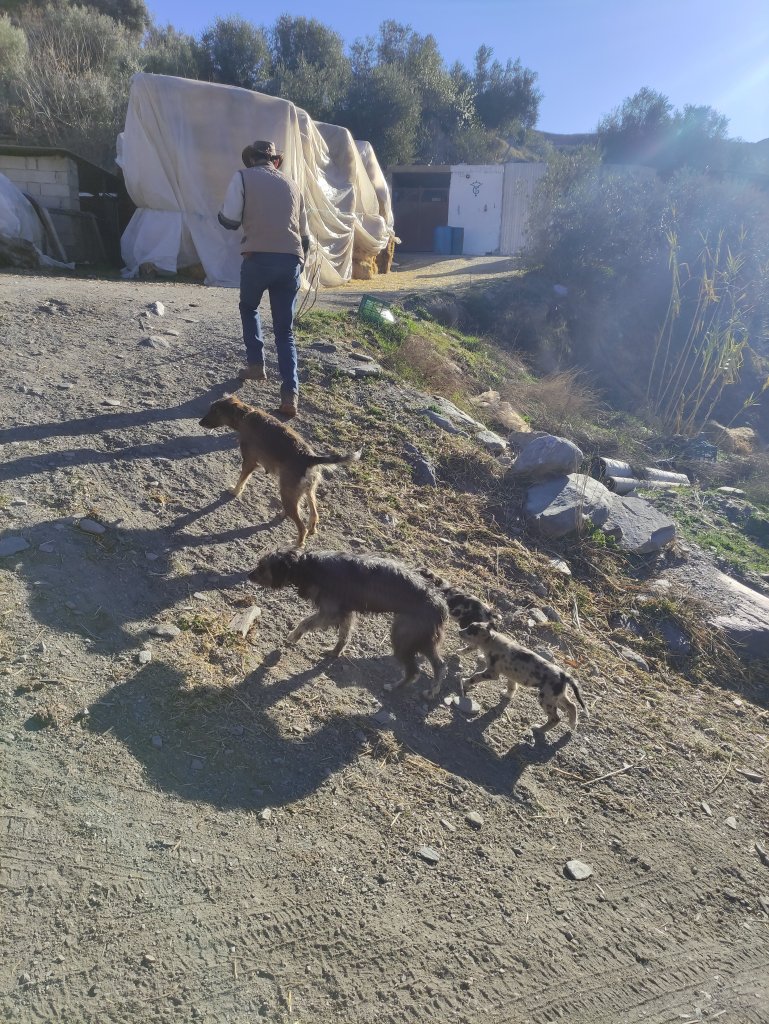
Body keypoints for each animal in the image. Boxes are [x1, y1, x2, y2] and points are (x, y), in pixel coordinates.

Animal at [199, 395, 361, 547]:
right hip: (307, 491)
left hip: (287, 493)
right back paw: (307, 526)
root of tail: (308, 458)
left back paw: (297, 544)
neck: (245, 415)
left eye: (215, 411)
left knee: (301, 527)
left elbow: (241, 480)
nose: (200, 423)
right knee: (314, 515)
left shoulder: (249, 462)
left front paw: (235, 491)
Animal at [249, 549, 448, 697]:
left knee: (414, 671)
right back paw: (432, 691)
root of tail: (440, 604)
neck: (305, 566)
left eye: (262, 567)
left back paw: (394, 687)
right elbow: (344, 636)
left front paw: (293, 636)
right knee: (439, 665)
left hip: (402, 636)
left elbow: (305, 622)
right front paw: (334, 653)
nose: (249, 575)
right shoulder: (345, 613)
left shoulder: (330, 612)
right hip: (420, 639)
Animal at [458, 622, 587, 732]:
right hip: (557, 696)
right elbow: (512, 687)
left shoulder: (491, 673)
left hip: (546, 699)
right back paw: (573, 724)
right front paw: (507, 695)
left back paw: (539, 729)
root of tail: (564, 675)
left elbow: (475, 677)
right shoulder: (511, 675)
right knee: (572, 706)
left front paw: (465, 682)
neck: (493, 642)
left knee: (556, 718)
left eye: (471, 631)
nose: (459, 631)